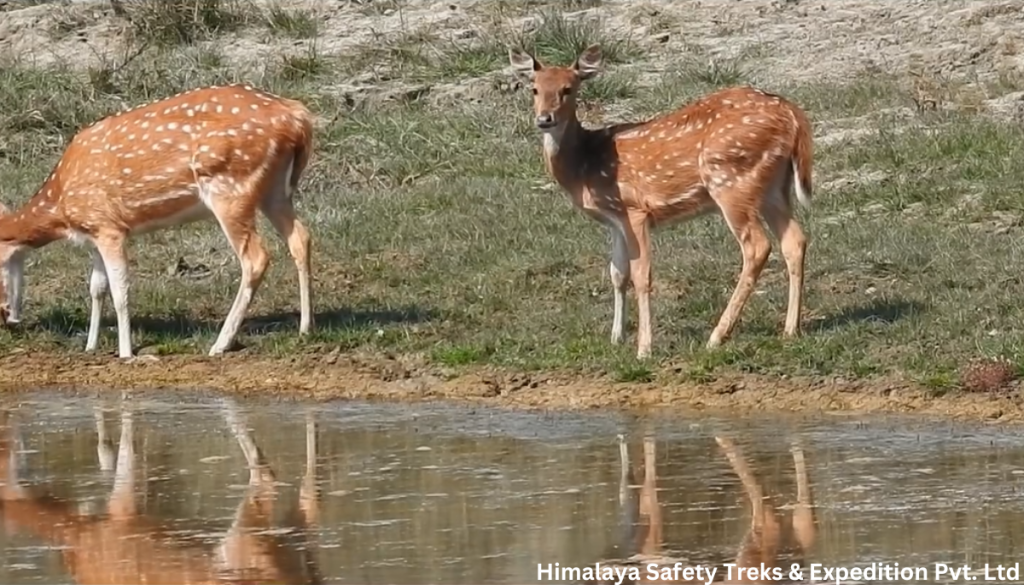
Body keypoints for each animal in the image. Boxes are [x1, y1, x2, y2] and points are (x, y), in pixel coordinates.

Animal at [0, 81, 315, 356]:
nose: (7, 319)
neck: (61, 207)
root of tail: (297, 117)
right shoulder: (96, 232)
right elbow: (97, 287)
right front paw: (90, 347)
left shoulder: (110, 227)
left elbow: (120, 289)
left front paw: (125, 353)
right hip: (275, 189)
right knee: (300, 238)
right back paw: (304, 328)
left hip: (230, 187)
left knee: (256, 257)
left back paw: (220, 344)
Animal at [509, 43, 815, 358]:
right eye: (534, 89)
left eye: (568, 89)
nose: (544, 119)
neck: (585, 165)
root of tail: (792, 114)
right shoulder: (614, 220)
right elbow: (617, 273)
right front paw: (616, 338)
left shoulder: (635, 209)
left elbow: (641, 275)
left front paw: (644, 348)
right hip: (773, 186)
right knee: (794, 240)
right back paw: (790, 330)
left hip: (731, 179)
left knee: (757, 246)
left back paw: (717, 336)